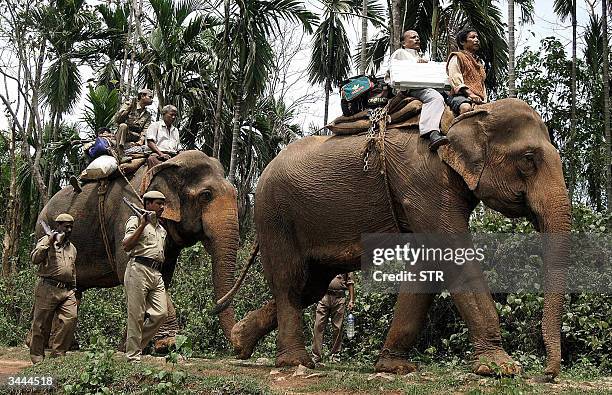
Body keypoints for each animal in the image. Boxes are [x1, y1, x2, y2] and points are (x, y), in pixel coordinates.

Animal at [35, 149, 241, 344]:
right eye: (206, 195)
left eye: (236, 194)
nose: (212, 308)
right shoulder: (127, 213)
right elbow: (127, 267)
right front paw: (167, 343)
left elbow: (163, 276)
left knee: (74, 291)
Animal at [222, 99, 572, 380]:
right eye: (528, 159)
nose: (548, 374)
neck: (467, 114)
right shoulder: (424, 183)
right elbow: (453, 257)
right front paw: (502, 368)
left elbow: (427, 266)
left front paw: (394, 368)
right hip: (275, 213)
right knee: (291, 281)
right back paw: (295, 362)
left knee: (312, 285)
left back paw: (239, 342)